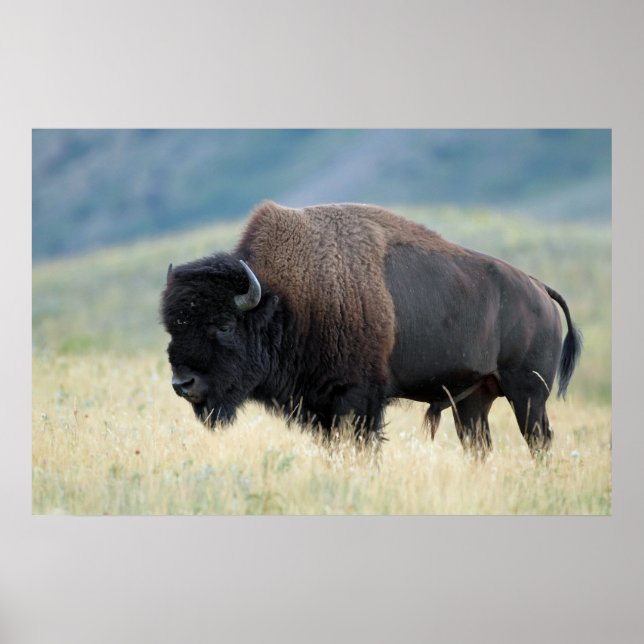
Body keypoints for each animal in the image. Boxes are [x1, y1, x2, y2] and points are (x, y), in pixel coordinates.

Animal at [161, 201, 581, 456]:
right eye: (171, 327)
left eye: (224, 325)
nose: (183, 384)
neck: (286, 299)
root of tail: (539, 288)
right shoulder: (323, 406)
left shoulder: (358, 398)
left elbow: (361, 443)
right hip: (474, 400)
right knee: (479, 445)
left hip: (527, 393)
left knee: (539, 440)